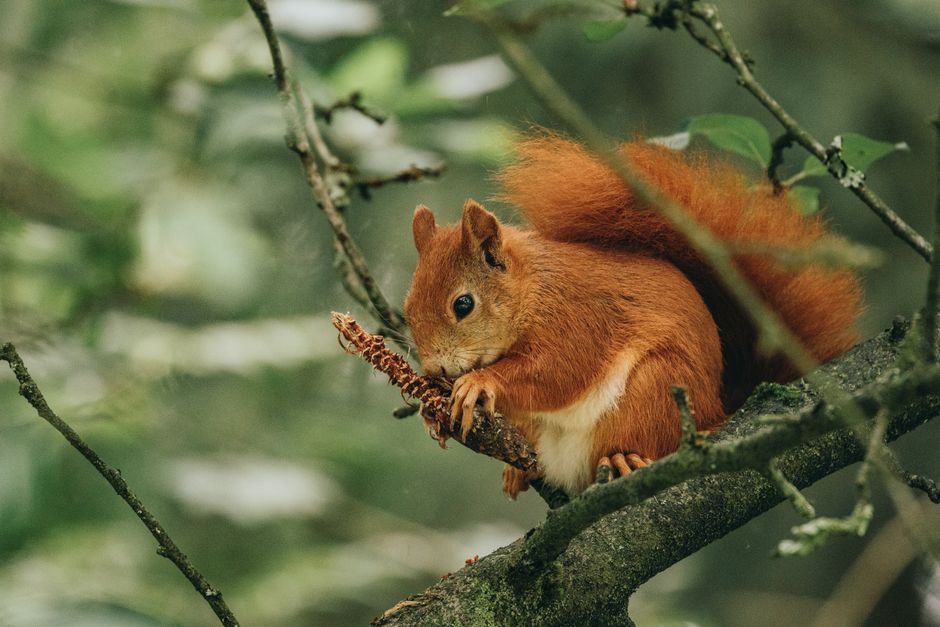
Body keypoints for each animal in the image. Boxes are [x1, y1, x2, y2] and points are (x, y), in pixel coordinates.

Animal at [403, 134, 862, 498]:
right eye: (407, 308)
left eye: (463, 305)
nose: (434, 368)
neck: (532, 291)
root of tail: (717, 409)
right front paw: (432, 410)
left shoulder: (578, 319)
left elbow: (558, 372)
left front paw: (478, 382)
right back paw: (518, 470)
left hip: (656, 389)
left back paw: (625, 458)